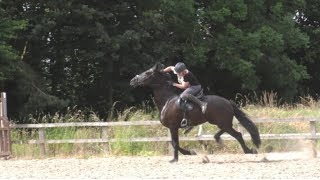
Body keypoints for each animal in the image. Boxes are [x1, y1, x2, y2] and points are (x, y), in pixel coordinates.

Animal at [129, 62, 260, 162]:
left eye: (147, 73)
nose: (132, 80)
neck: (167, 101)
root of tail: (228, 102)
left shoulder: (173, 126)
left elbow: (175, 143)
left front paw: (177, 158)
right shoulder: (173, 127)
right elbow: (173, 142)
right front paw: (187, 154)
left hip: (221, 122)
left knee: (237, 134)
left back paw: (248, 150)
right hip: (219, 122)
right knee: (230, 132)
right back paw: (222, 139)